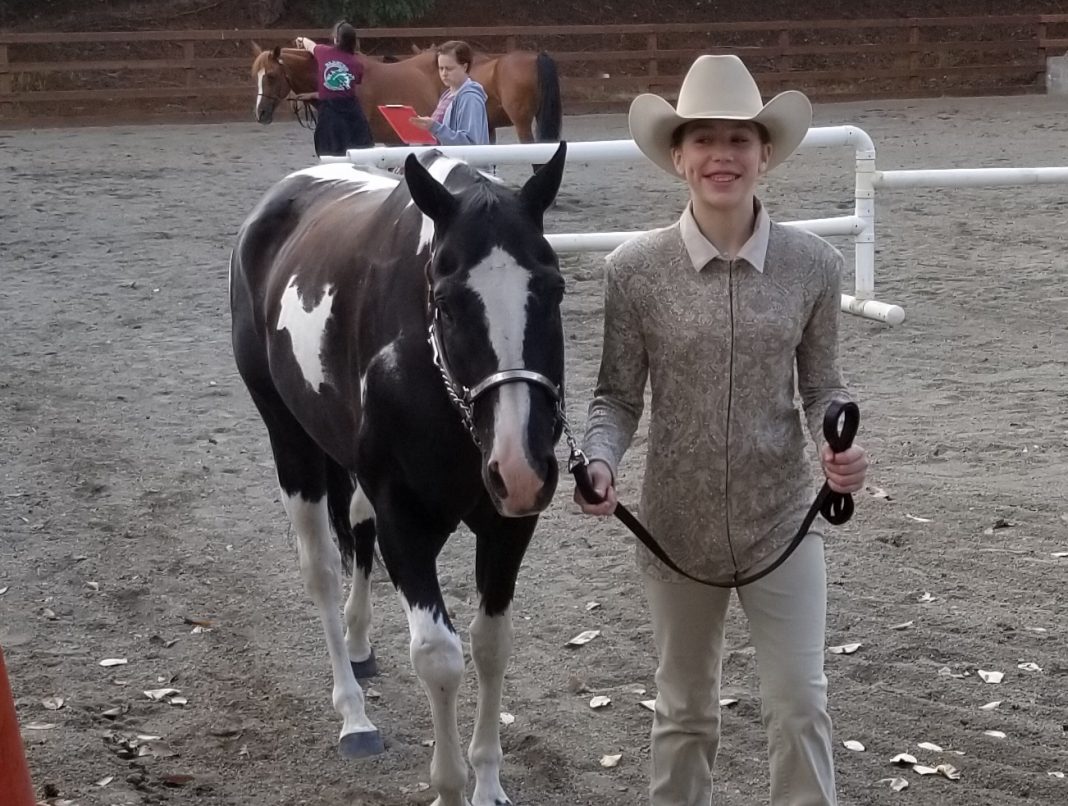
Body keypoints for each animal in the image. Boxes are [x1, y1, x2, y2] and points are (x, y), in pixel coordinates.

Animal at [230, 143, 572, 806]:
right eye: (446, 302)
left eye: (554, 289)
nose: (520, 466)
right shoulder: (405, 523)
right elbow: (439, 656)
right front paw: (449, 786)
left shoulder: (507, 526)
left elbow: (491, 646)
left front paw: (487, 782)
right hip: (290, 440)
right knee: (323, 571)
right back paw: (353, 714)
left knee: (355, 531)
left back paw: (360, 645)